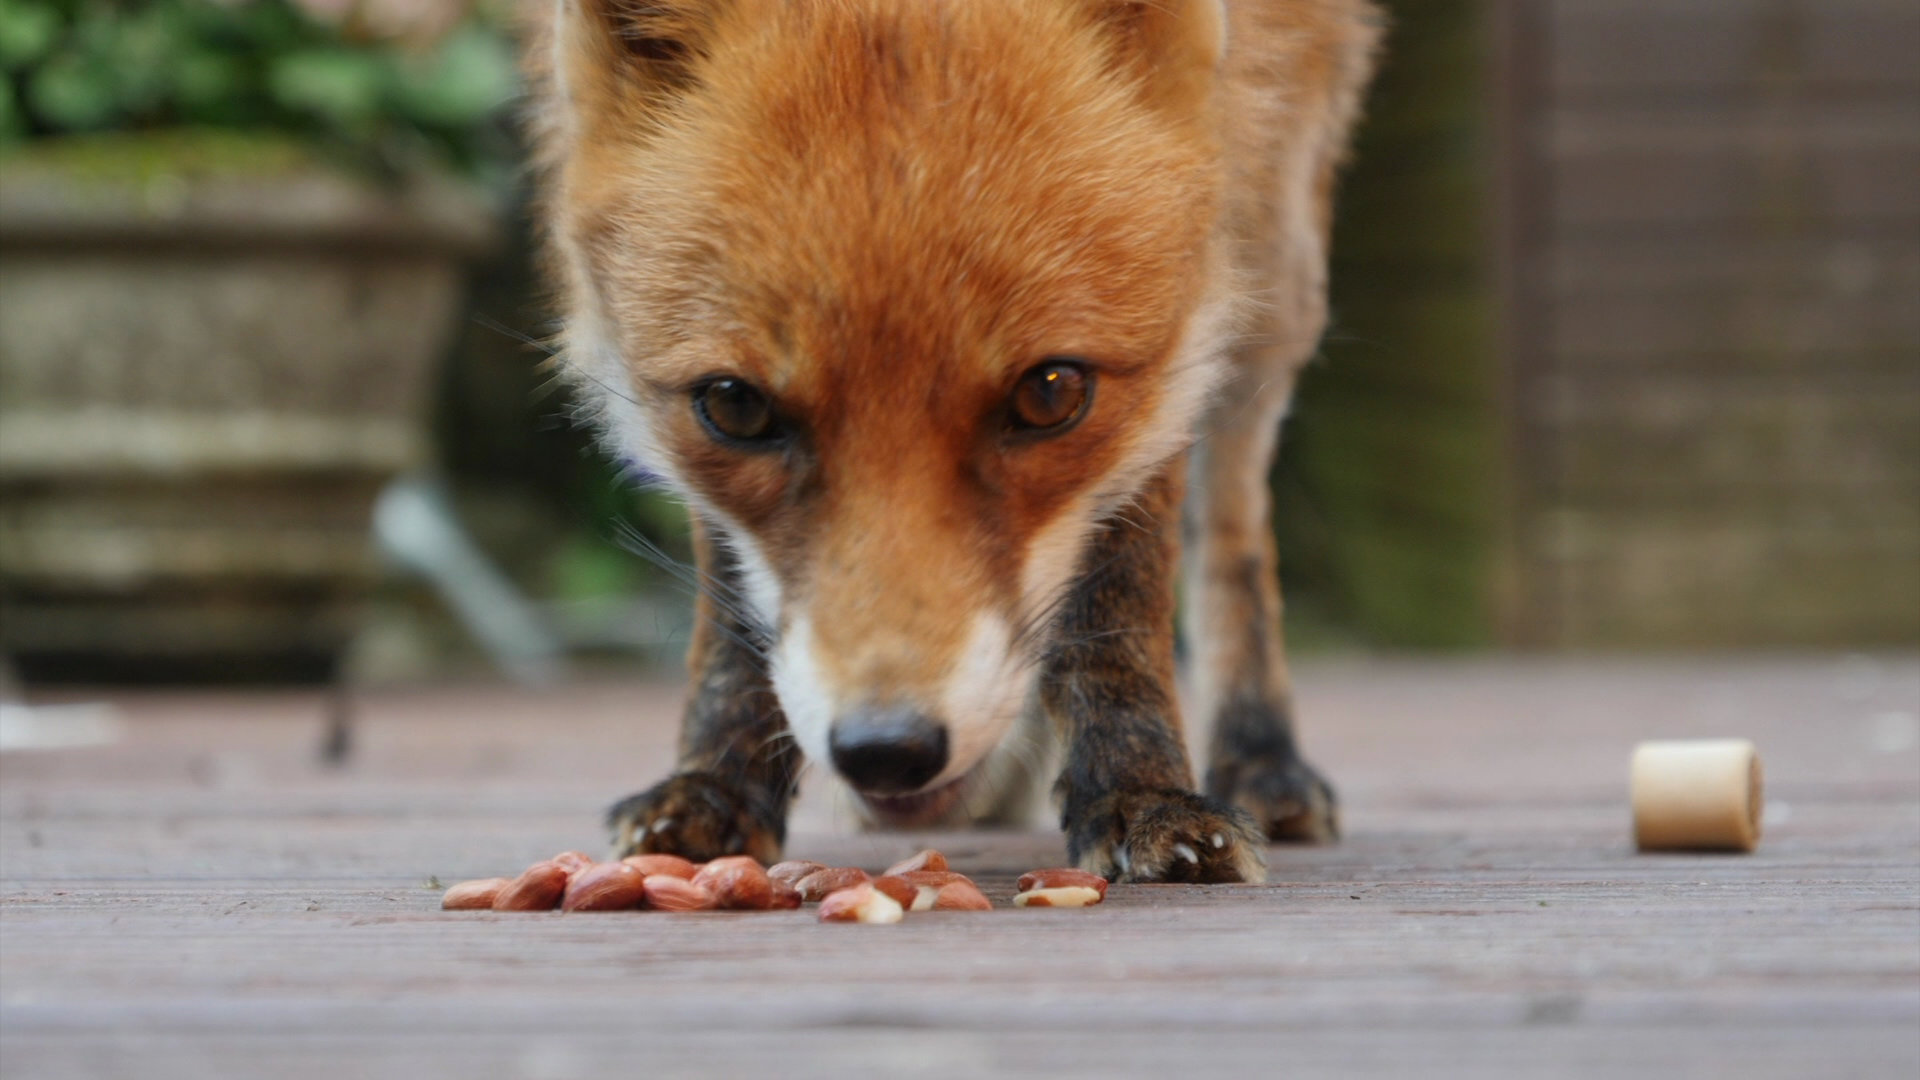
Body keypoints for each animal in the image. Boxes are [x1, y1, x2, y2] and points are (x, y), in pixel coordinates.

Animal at [529, 2, 1382, 883]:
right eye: (735, 407)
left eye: (1051, 393)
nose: (885, 750)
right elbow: (731, 605)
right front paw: (718, 782)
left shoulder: (1179, 335)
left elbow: (1122, 590)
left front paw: (1142, 792)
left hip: (1280, 267)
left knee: (1236, 530)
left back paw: (1261, 760)